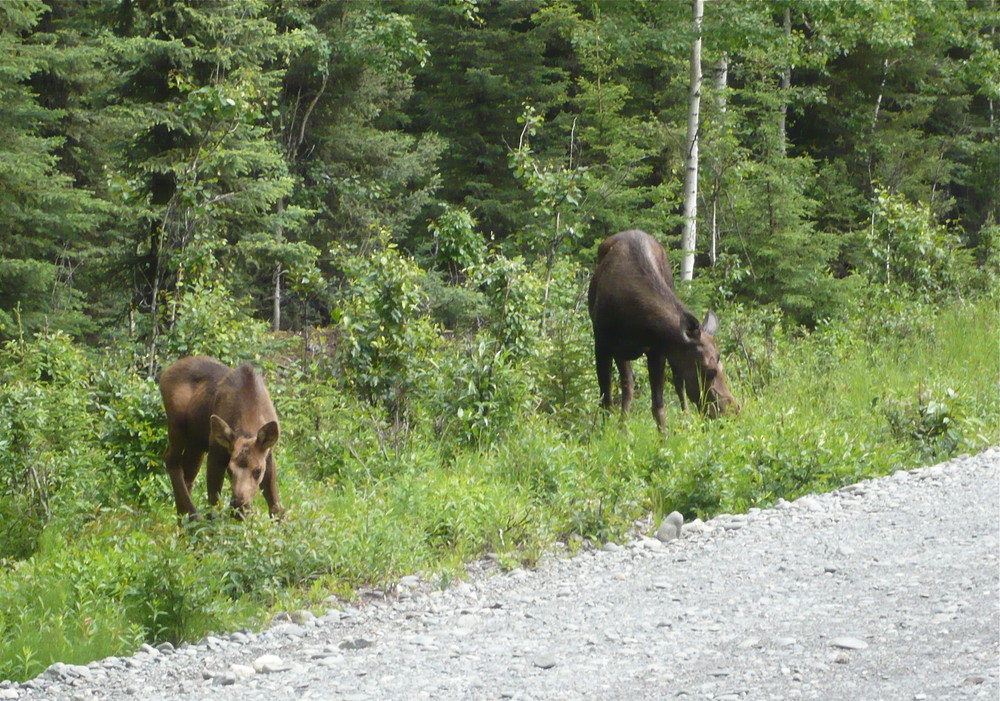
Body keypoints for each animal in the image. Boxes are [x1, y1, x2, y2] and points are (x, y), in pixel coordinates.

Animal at [160, 356, 284, 520]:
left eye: (257, 471)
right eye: (230, 470)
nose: (238, 506)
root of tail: (164, 373)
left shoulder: (268, 455)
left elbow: (276, 508)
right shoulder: (216, 452)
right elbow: (213, 506)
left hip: (196, 443)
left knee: (188, 475)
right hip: (177, 425)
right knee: (171, 461)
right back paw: (194, 516)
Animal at [584, 230, 744, 430]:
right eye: (709, 371)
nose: (732, 410)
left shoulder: (657, 350)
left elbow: (658, 406)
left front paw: (664, 436)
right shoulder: (602, 343)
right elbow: (606, 400)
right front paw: (602, 433)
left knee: (676, 383)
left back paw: (684, 419)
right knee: (628, 385)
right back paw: (623, 428)